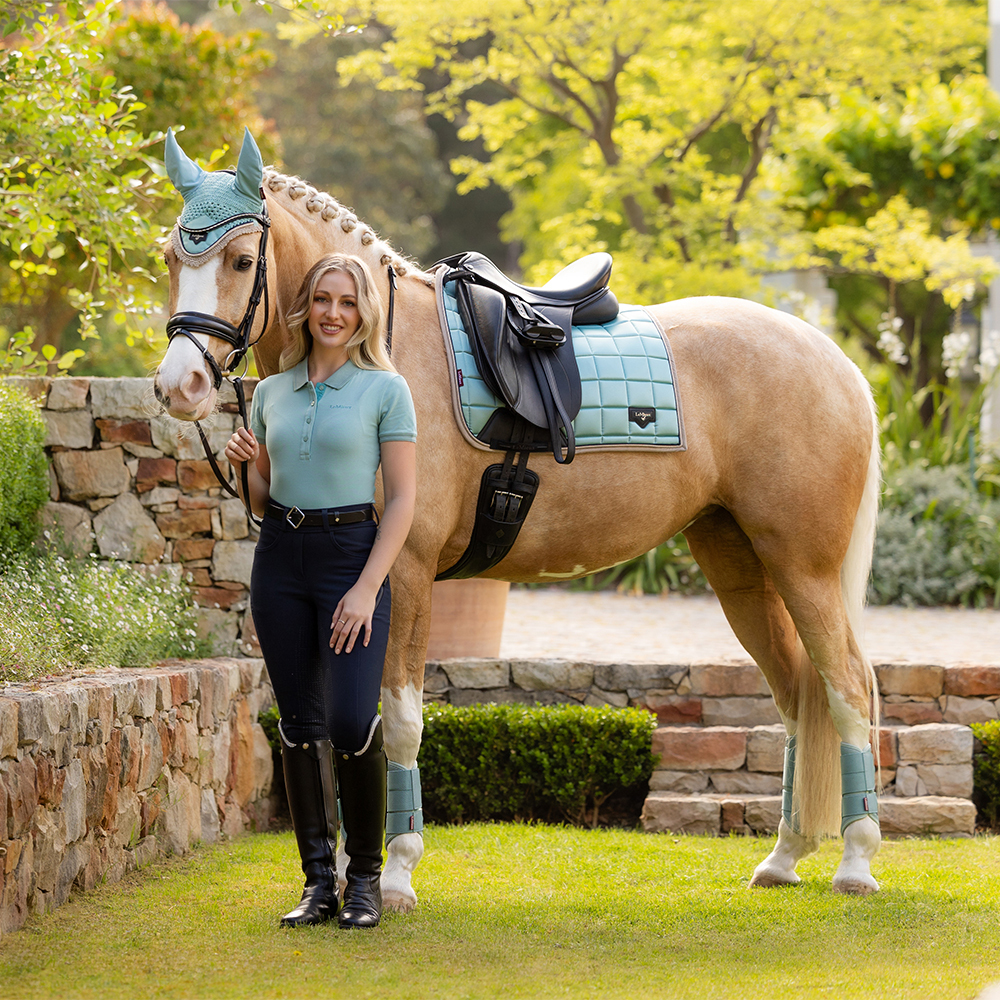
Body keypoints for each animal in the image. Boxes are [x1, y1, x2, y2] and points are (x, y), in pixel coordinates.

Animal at [154, 130, 883, 910]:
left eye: (240, 260)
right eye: (171, 257)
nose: (178, 386)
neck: (384, 355)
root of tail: (837, 361)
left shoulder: (403, 576)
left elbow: (400, 722)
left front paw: (398, 872)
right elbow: (351, 726)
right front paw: (357, 872)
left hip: (803, 568)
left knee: (846, 687)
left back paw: (856, 861)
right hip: (741, 568)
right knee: (798, 695)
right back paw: (785, 855)